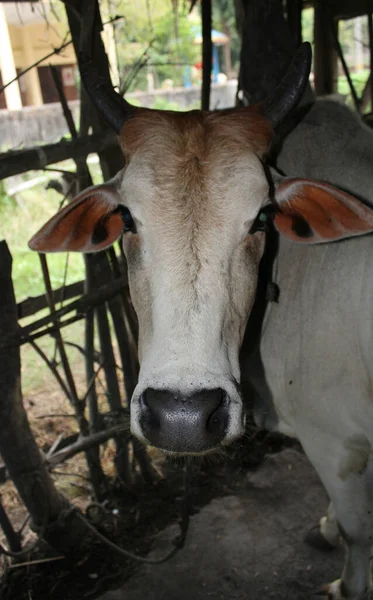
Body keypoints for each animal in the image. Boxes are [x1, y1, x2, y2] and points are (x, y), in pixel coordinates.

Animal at [27, 43, 372, 600]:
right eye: (126, 217)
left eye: (262, 218)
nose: (183, 417)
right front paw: (324, 528)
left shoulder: (337, 439)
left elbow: (356, 529)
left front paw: (348, 580)